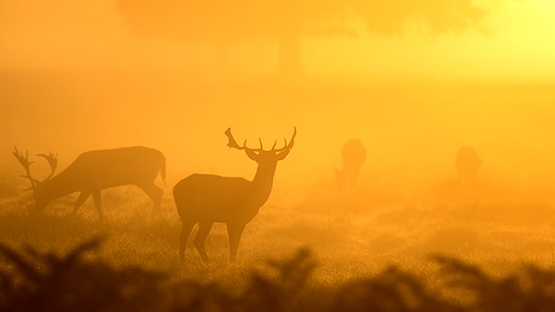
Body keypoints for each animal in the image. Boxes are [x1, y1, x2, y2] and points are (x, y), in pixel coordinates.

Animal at [13, 146, 165, 219]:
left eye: (37, 195)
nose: (33, 212)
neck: (77, 177)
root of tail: (162, 155)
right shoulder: (86, 188)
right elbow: (78, 204)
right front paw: (70, 216)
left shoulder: (94, 184)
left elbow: (97, 205)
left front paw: (102, 221)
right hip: (145, 179)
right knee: (159, 192)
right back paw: (156, 216)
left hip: (144, 179)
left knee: (158, 192)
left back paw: (153, 217)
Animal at [175, 127, 298, 260]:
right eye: (259, 159)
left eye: (274, 159)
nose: (268, 167)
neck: (251, 195)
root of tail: (174, 188)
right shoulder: (231, 218)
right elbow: (232, 245)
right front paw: (231, 262)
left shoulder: (242, 221)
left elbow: (236, 245)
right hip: (187, 213)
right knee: (183, 238)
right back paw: (183, 261)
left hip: (205, 218)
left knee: (197, 240)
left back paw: (207, 261)